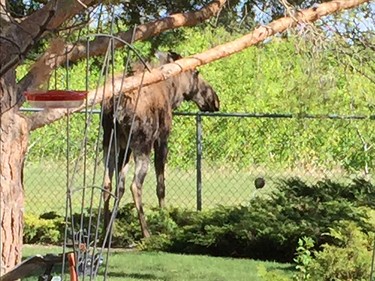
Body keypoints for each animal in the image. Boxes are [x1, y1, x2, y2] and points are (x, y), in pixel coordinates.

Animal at [103, 50, 220, 236]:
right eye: (196, 72)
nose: (214, 100)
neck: (171, 92)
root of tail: (117, 105)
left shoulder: (124, 147)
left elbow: (119, 187)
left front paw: (110, 228)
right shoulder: (162, 139)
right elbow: (161, 185)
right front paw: (164, 219)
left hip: (108, 142)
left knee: (107, 184)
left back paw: (103, 232)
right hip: (143, 145)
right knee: (135, 185)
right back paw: (147, 233)